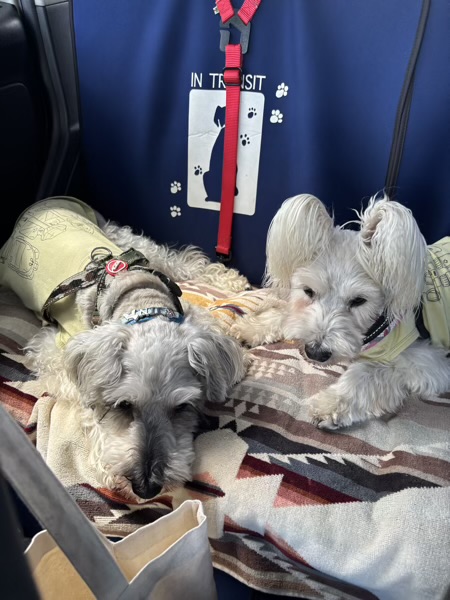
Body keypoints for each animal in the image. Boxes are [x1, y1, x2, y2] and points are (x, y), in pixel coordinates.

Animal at [0, 197, 250, 499]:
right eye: (123, 405)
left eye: (182, 407)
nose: (146, 488)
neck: (139, 301)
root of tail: (42, 204)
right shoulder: (51, 349)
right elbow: (85, 396)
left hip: (131, 245)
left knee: (180, 260)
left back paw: (230, 279)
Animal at [230, 193, 450, 429]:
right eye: (308, 291)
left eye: (359, 300)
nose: (315, 352)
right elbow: (287, 315)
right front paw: (250, 328)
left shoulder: (429, 361)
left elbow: (366, 372)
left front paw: (330, 405)